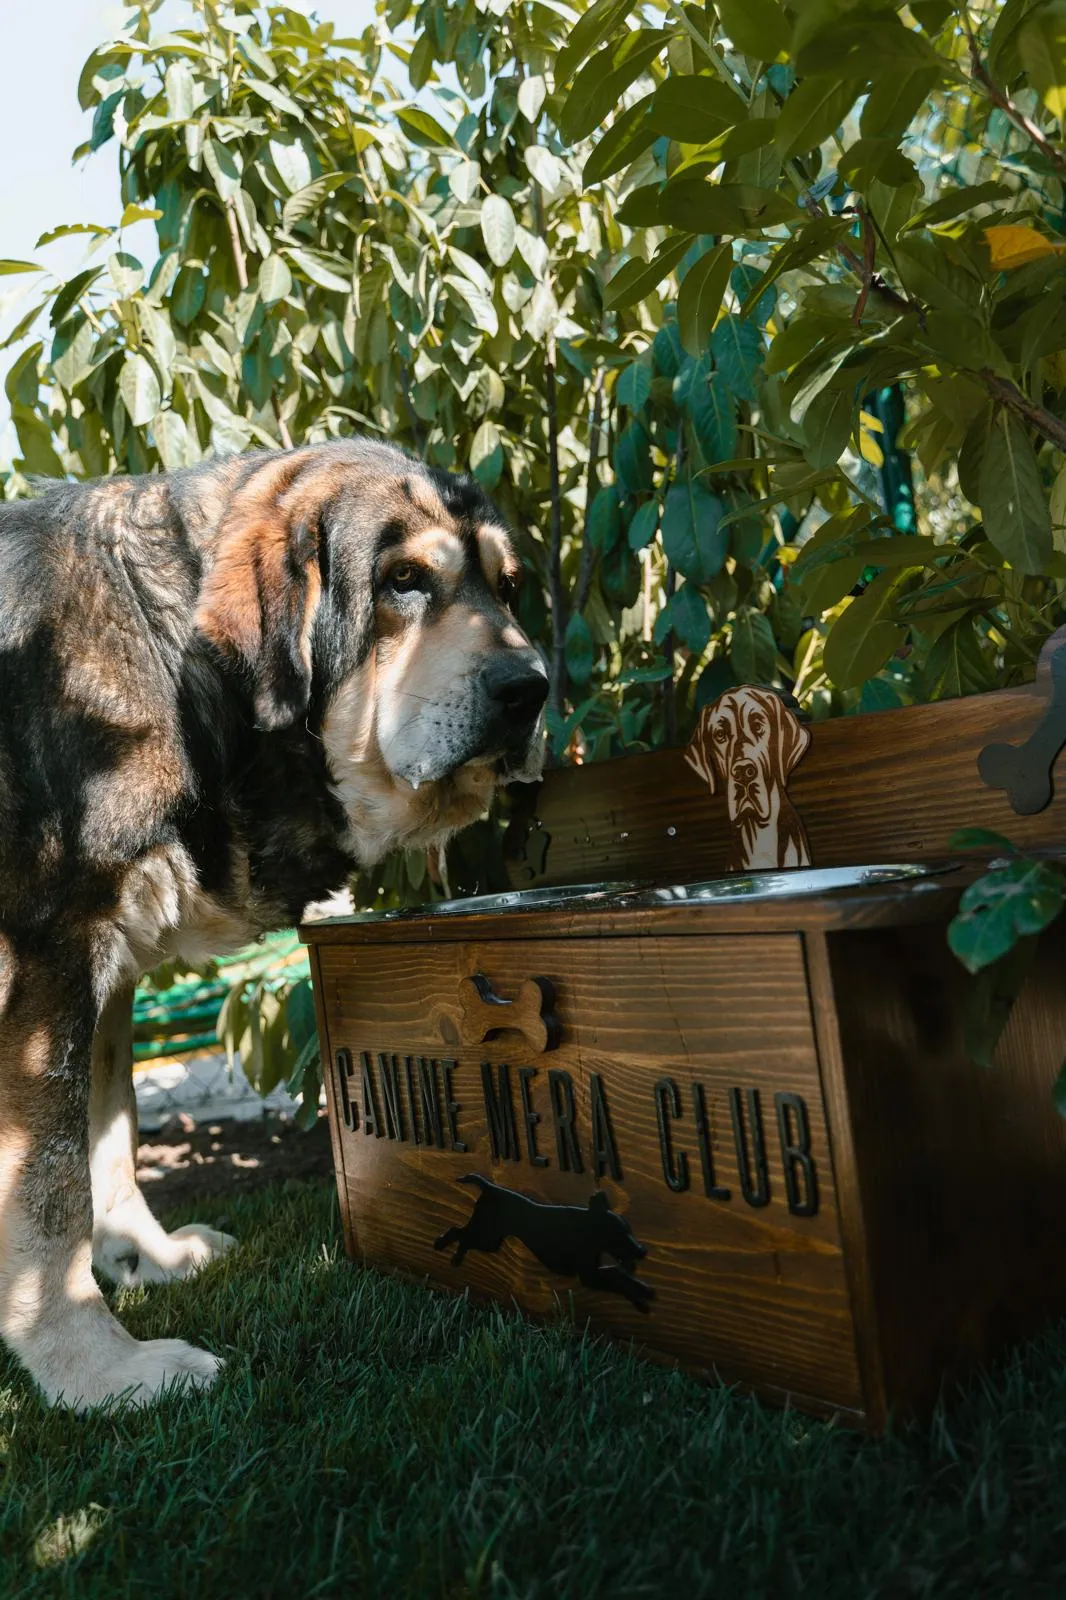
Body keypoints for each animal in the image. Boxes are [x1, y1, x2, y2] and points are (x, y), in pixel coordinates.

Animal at [0, 438, 547, 1414]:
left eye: (508, 587)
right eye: (403, 582)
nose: (535, 688)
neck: (171, 664)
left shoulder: (106, 974)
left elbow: (111, 1135)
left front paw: (144, 1255)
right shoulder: (46, 963)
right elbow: (49, 1190)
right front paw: (93, 1368)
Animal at [428, 1177, 646, 1312]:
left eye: (630, 1231)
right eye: (620, 1234)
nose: (642, 1251)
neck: (588, 1229)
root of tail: (489, 1187)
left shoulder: (592, 1272)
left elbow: (616, 1274)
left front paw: (639, 1295)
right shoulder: (589, 1275)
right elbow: (616, 1276)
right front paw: (641, 1292)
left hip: (489, 1239)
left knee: (464, 1237)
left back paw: (455, 1258)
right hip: (486, 1235)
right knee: (458, 1232)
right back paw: (441, 1245)